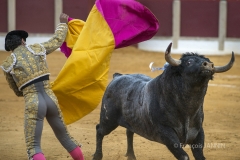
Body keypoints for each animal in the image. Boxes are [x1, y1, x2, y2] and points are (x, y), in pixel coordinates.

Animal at [92, 42, 234, 160]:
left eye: (207, 61)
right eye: (189, 62)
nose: (208, 65)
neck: (187, 110)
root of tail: (118, 76)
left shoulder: (198, 131)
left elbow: (200, 156)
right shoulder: (166, 132)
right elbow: (184, 156)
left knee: (129, 131)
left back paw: (131, 156)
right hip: (108, 120)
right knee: (100, 130)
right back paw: (97, 156)